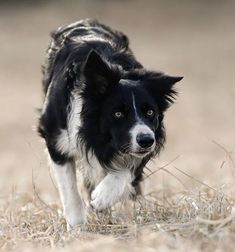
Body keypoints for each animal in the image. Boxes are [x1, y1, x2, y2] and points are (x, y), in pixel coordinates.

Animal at [37, 19, 183, 228]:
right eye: (118, 113)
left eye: (150, 112)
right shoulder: (56, 139)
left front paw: (102, 197)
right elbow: (69, 189)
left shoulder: (148, 139)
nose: (146, 141)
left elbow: (127, 170)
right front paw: (77, 227)